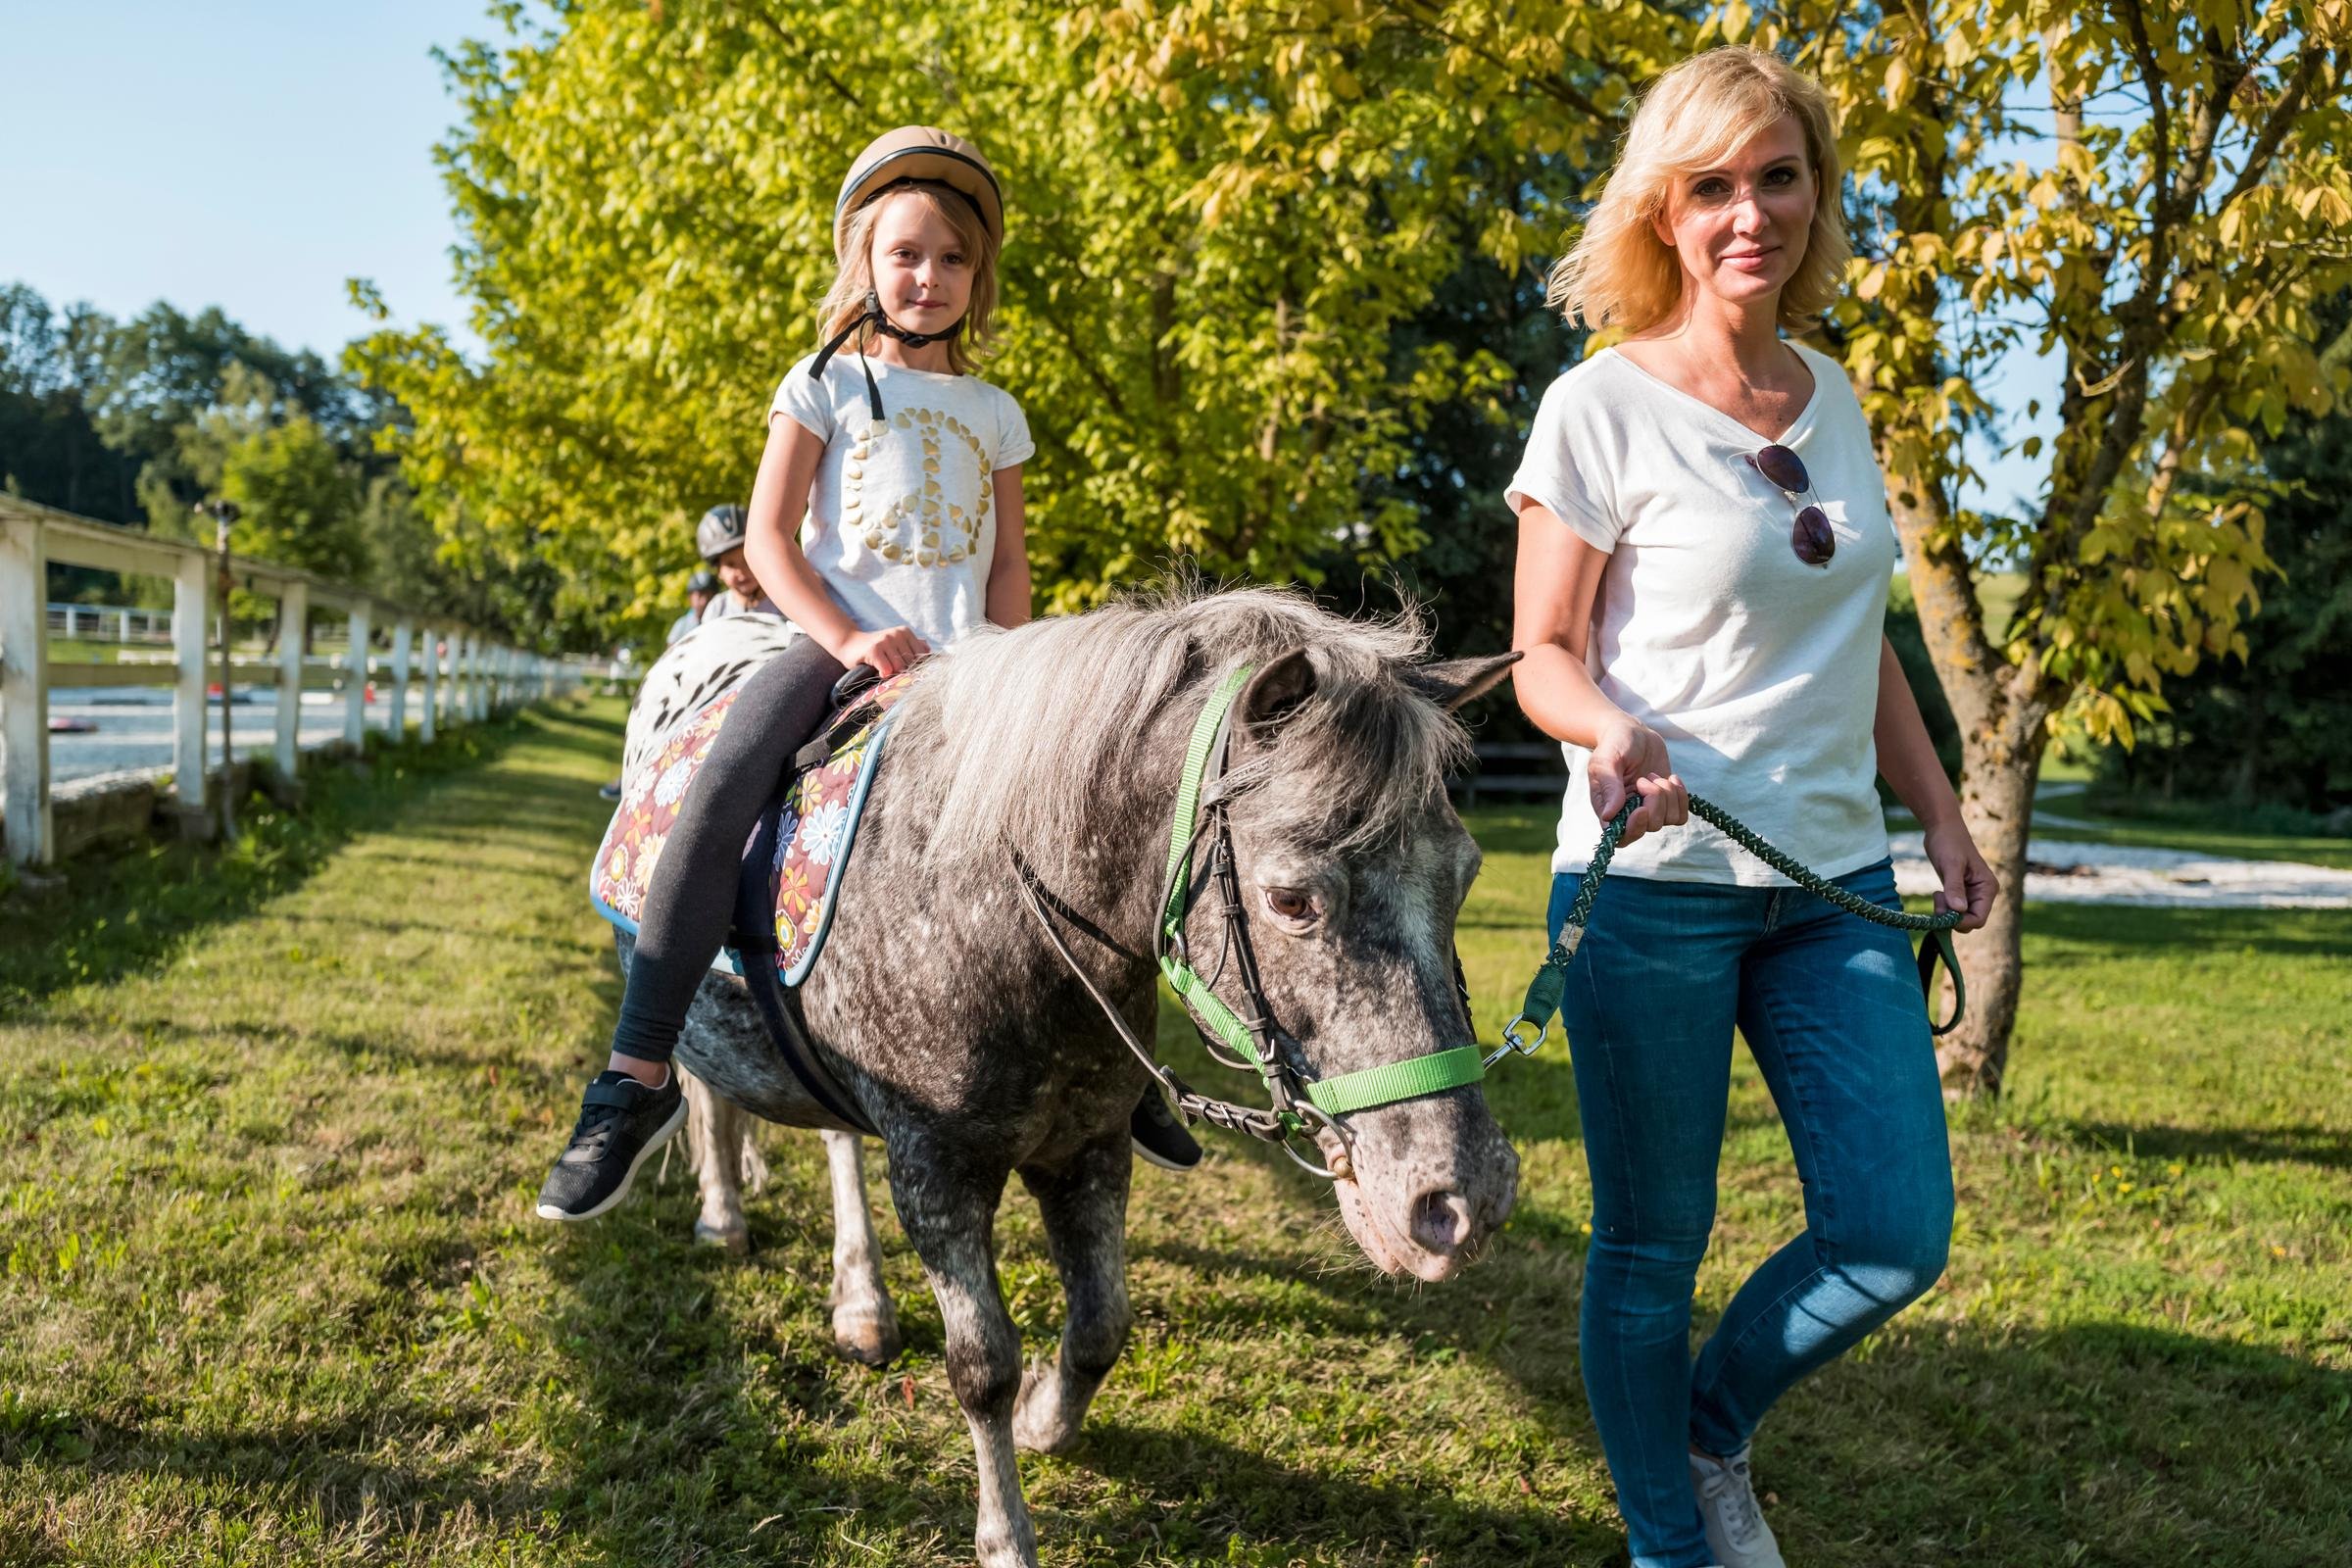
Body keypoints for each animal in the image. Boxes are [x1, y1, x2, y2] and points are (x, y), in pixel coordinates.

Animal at [609, 587, 1522, 1567]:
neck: (991, 918)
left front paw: (1050, 1419)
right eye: (1291, 900)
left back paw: (859, 1299)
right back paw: (722, 1213)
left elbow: (1099, 1326)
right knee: (710, 1093)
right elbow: (982, 1365)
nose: (1463, 1200)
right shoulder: (935, 1169)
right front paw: (1006, 1535)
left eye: (1465, 875)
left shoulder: (1089, 1147)